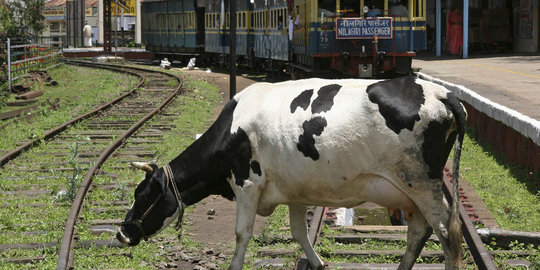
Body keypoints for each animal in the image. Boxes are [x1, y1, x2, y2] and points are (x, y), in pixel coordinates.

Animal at [116, 76, 466, 270]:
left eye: (143, 194)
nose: (122, 234)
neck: (231, 128)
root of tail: (442, 93)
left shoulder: (247, 182)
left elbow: (242, 233)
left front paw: (234, 265)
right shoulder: (297, 189)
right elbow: (299, 232)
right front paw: (317, 262)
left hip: (422, 183)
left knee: (447, 234)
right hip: (410, 191)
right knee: (419, 232)